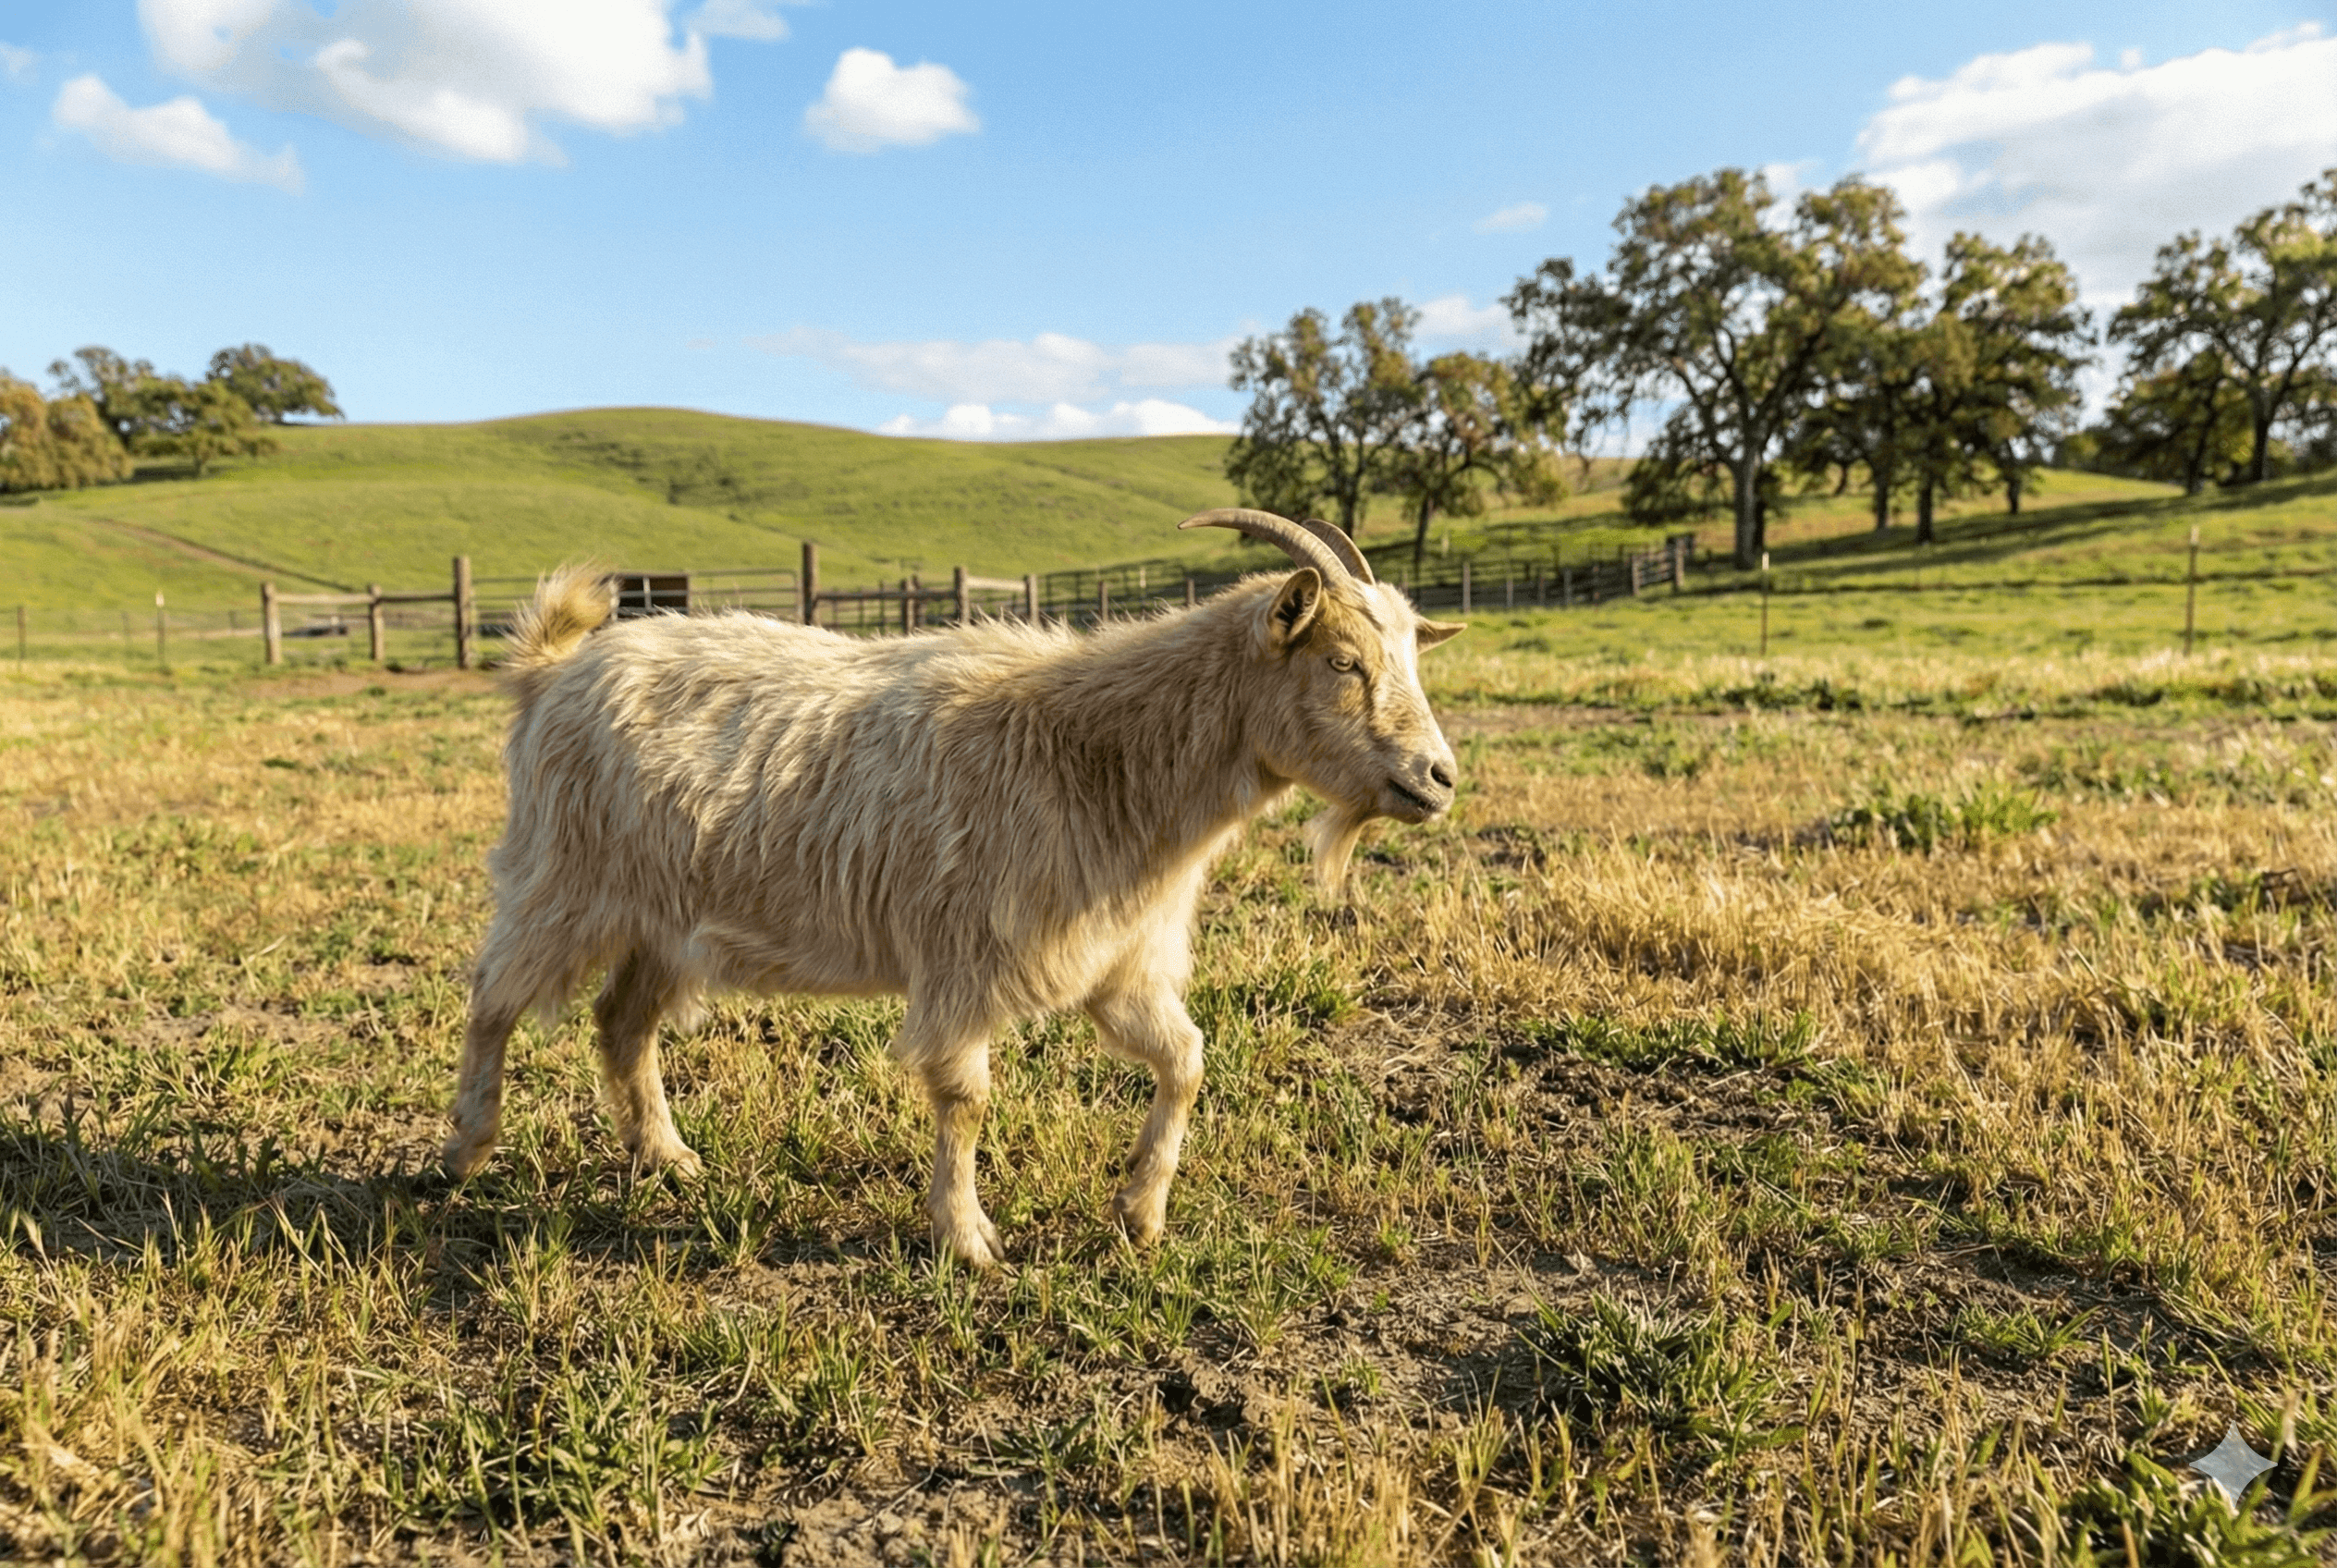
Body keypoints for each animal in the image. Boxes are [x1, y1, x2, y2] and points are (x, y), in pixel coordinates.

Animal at [443, 510, 1463, 1266]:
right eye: (1341, 661)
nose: (1439, 777)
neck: (1096, 753)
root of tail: (551, 670)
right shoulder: (963, 959)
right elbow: (966, 1099)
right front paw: (967, 1239)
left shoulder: (1114, 963)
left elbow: (1187, 1058)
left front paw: (1138, 1211)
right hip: (562, 881)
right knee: (493, 996)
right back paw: (466, 1149)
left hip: (665, 919)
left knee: (621, 1023)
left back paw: (666, 1157)